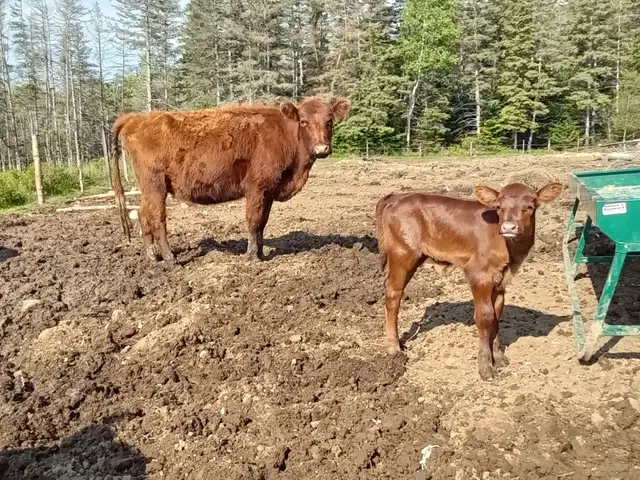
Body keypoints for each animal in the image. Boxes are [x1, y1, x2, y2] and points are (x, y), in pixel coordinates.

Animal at [111, 96, 350, 263]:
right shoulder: (256, 186)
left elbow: (262, 223)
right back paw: (169, 257)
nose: (321, 148)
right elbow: (253, 221)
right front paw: (252, 257)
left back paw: (153, 257)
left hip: (149, 188)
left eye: (329, 121)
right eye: (303, 121)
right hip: (155, 185)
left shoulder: (269, 190)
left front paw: (261, 253)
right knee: (157, 218)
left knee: (142, 215)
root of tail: (136, 118)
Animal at [375, 181, 563, 380]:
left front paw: (498, 358)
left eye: (529, 207)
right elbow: (485, 317)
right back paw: (394, 347)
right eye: (499, 207)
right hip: (403, 254)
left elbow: (496, 316)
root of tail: (398, 196)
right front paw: (486, 366)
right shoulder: (479, 275)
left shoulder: (500, 280)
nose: (508, 227)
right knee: (393, 293)